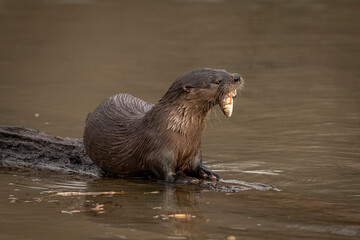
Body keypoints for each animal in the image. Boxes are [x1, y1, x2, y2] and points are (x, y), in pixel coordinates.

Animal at [83, 68, 243, 183]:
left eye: (225, 70)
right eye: (217, 81)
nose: (237, 76)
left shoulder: (195, 149)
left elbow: (196, 165)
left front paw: (209, 173)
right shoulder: (158, 149)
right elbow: (166, 173)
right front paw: (185, 179)